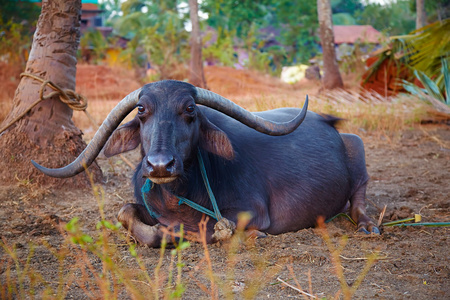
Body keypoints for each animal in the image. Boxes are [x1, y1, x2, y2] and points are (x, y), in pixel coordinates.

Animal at [31, 79, 378, 246]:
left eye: (190, 109)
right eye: (141, 110)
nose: (160, 166)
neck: (179, 194)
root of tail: (327, 121)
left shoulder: (251, 211)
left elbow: (198, 228)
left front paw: (252, 236)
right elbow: (125, 212)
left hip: (358, 147)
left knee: (359, 197)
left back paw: (368, 226)